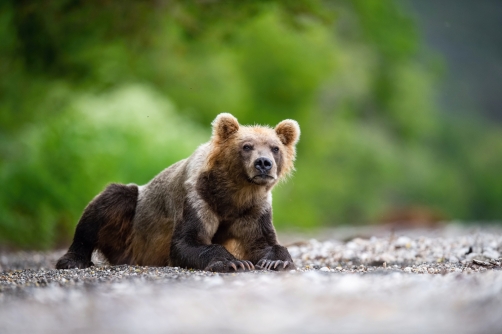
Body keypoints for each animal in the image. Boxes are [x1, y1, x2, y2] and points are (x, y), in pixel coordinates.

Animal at [56, 113, 298, 272]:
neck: (234, 193)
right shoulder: (198, 199)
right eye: (246, 146)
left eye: (275, 148)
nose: (263, 163)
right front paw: (234, 262)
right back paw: (71, 260)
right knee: (107, 204)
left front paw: (276, 261)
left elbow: (264, 243)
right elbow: (187, 242)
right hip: (129, 234)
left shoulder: (254, 208)